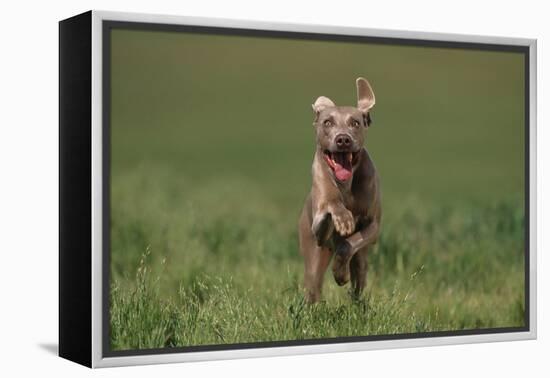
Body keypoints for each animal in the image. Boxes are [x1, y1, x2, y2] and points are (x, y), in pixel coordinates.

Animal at [300, 77, 382, 304]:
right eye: (327, 122)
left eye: (355, 122)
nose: (343, 139)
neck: (346, 184)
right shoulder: (318, 228)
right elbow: (329, 210)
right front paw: (340, 216)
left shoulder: (372, 226)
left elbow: (348, 244)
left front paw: (340, 273)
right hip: (312, 254)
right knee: (313, 285)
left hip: (361, 261)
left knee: (358, 279)